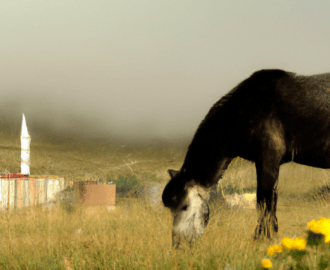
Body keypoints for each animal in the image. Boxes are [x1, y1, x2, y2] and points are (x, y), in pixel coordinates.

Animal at [161, 68, 330, 248]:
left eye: (185, 206)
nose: (177, 243)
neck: (246, 110)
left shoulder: (268, 160)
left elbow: (265, 202)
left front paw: (264, 238)